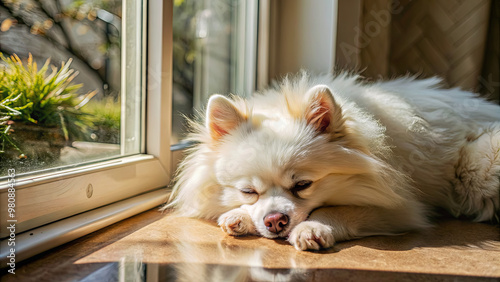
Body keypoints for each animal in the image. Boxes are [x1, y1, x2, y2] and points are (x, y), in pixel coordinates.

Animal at [165, 72, 500, 251]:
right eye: (248, 191)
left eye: (302, 185)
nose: (275, 221)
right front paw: (240, 216)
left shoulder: (401, 208)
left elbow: (339, 210)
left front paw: (313, 228)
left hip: (479, 168)